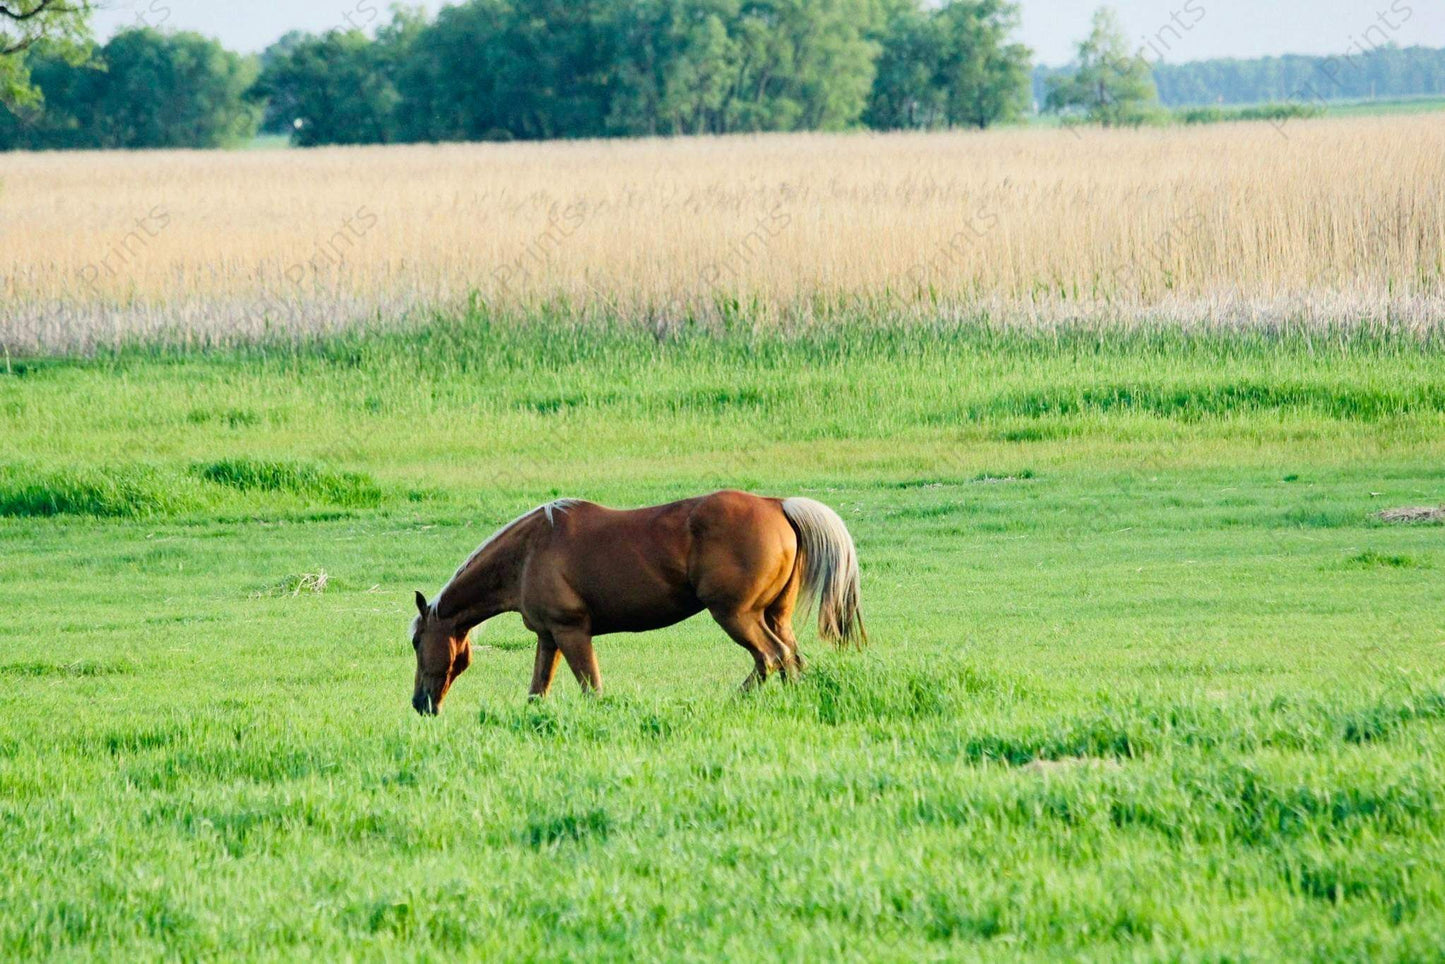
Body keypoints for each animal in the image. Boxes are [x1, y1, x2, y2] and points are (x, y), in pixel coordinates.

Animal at [410, 494, 855, 713]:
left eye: (416, 643)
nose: (420, 704)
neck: (529, 552)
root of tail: (778, 504)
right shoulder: (549, 638)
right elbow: (537, 691)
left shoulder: (573, 633)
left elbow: (592, 689)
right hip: (774, 616)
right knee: (791, 659)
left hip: (737, 616)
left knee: (771, 658)